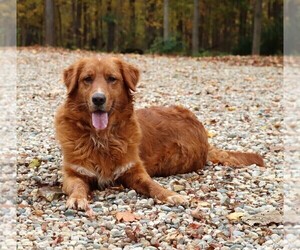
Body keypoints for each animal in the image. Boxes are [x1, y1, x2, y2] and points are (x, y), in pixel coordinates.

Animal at [55, 57, 264, 213]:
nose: (98, 99)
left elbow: (153, 186)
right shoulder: (73, 173)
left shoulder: (135, 171)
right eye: (87, 79)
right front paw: (77, 198)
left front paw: (171, 195)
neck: (102, 136)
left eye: (112, 79)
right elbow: (77, 186)